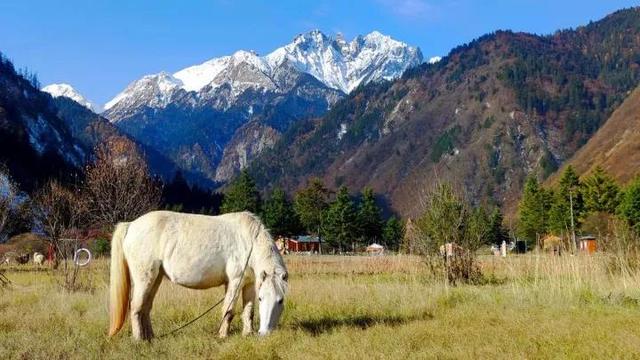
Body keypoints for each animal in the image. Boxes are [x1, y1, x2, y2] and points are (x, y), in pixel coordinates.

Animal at [109, 211, 288, 340]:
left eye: (280, 300)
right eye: (261, 299)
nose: (264, 333)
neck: (248, 242)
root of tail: (131, 225)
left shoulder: (249, 283)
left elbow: (248, 311)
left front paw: (247, 334)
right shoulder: (235, 282)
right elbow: (228, 310)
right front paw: (223, 335)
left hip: (156, 278)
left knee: (145, 307)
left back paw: (150, 338)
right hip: (144, 279)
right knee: (136, 307)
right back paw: (139, 339)